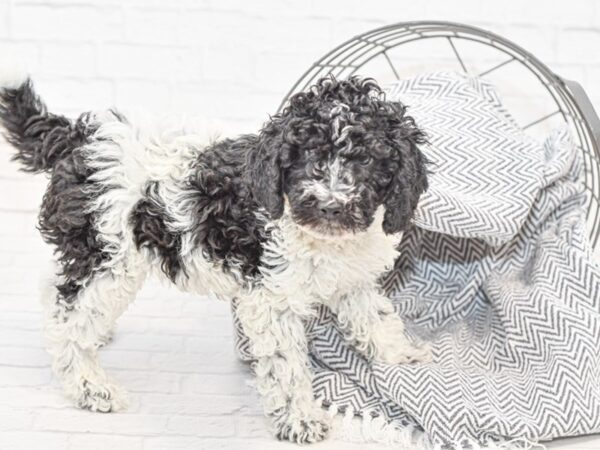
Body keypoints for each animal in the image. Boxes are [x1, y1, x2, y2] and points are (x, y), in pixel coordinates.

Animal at [0, 74, 432, 442]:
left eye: (367, 159)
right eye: (308, 154)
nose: (330, 206)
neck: (321, 238)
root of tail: (79, 139)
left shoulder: (352, 280)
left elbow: (376, 318)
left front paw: (404, 357)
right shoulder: (270, 299)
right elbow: (287, 364)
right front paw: (299, 419)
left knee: (62, 297)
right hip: (106, 254)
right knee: (65, 314)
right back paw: (91, 387)